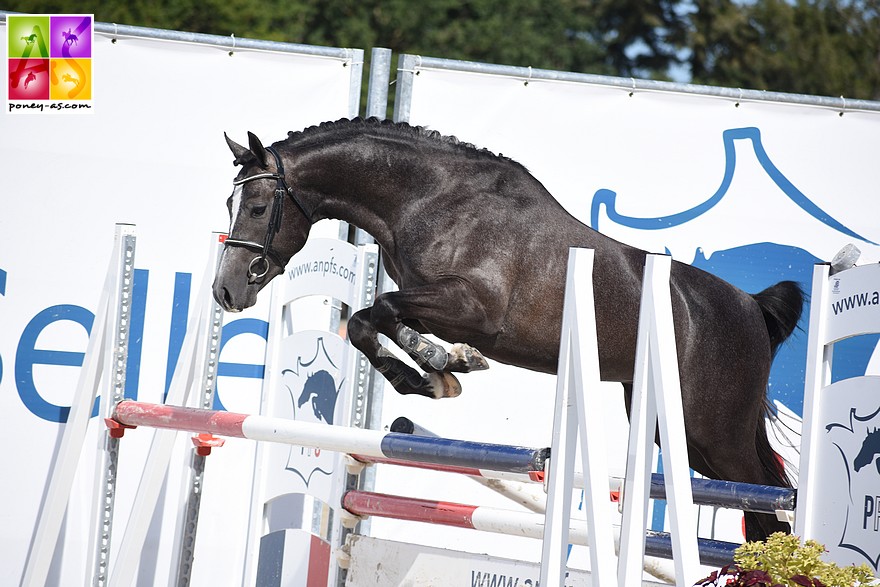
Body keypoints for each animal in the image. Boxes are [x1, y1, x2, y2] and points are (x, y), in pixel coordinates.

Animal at [215, 117, 804, 544]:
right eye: (230, 204)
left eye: (259, 207)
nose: (227, 291)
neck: (429, 198)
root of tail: (751, 307)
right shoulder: (430, 303)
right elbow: (372, 321)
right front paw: (439, 370)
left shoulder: (474, 308)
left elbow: (376, 311)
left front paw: (442, 368)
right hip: (678, 429)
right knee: (762, 502)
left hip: (713, 429)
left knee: (772, 496)